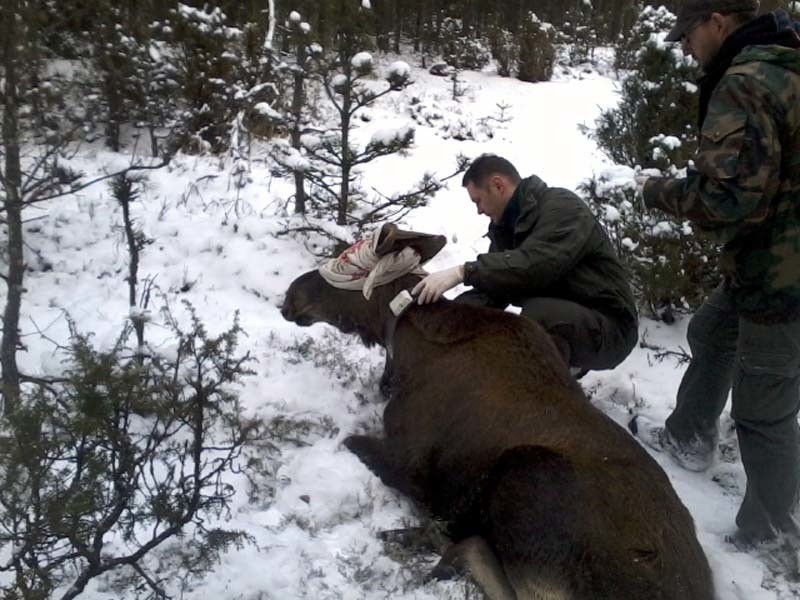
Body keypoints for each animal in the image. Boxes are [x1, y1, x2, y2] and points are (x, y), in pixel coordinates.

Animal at [282, 224, 712, 600]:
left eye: (347, 262)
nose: (290, 296)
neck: (403, 345)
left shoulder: (410, 464)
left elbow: (354, 442)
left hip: (529, 473)